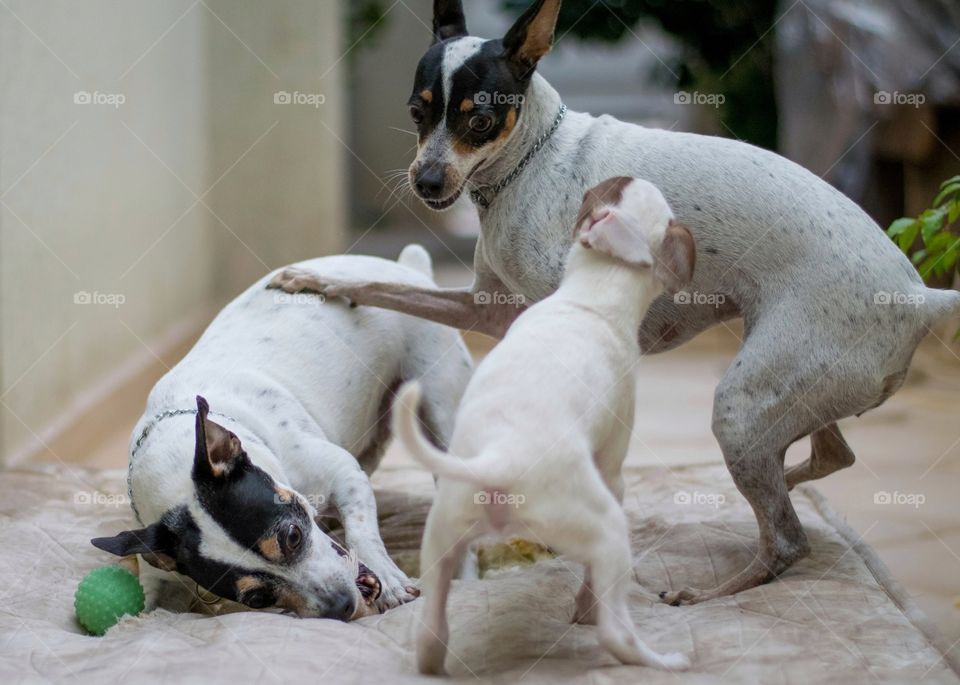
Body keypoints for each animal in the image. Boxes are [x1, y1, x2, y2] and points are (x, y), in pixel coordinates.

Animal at [394, 178, 692, 672]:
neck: (589, 296)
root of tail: (500, 460)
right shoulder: (612, 469)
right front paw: (584, 607)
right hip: (605, 528)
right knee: (616, 633)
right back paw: (663, 660)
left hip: (442, 536)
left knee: (430, 634)